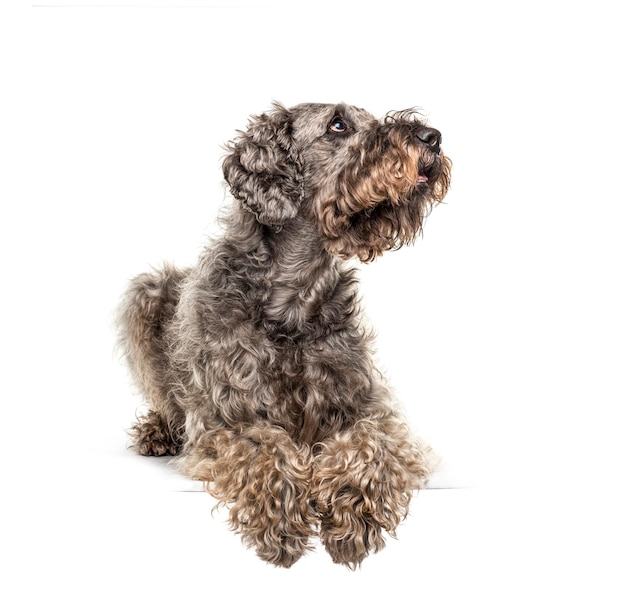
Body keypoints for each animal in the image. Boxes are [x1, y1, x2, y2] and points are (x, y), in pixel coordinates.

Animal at [117, 102, 448, 568]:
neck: (293, 298)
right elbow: (264, 448)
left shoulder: (379, 416)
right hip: (144, 293)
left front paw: (352, 514)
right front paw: (282, 523)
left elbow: (370, 444)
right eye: (338, 124)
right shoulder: (225, 423)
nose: (431, 136)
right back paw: (158, 432)